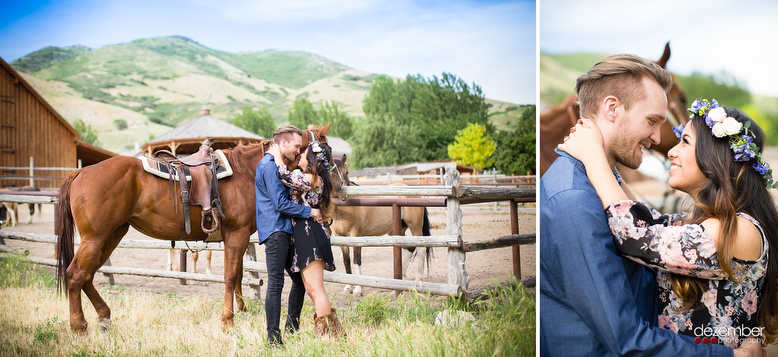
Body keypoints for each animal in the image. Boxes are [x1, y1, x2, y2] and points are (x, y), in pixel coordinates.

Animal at [56, 124, 328, 330]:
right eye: (324, 149)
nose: (320, 186)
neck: (247, 171)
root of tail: (81, 172)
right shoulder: (236, 234)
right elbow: (230, 276)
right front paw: (228, 320)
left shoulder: (237, 238)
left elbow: (239, 273)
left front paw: (240, 309)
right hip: (95, 237)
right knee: (75, 274)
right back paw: (79, 325)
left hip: (112, 235)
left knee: (88, 275)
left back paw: (103, 316)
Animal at [326, 156, 428, 294]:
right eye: (331, 172)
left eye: (347, 172)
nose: (344, 194)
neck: (344, 209)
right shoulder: (340, 237)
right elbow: (346, 261)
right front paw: (348, 287)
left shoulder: (356, 235)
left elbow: (356, 261)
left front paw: (358, 288)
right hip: (398, 230)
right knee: (410, 249)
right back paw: (401, 278)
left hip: (415, 227)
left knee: (421, 249)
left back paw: (418, 280)